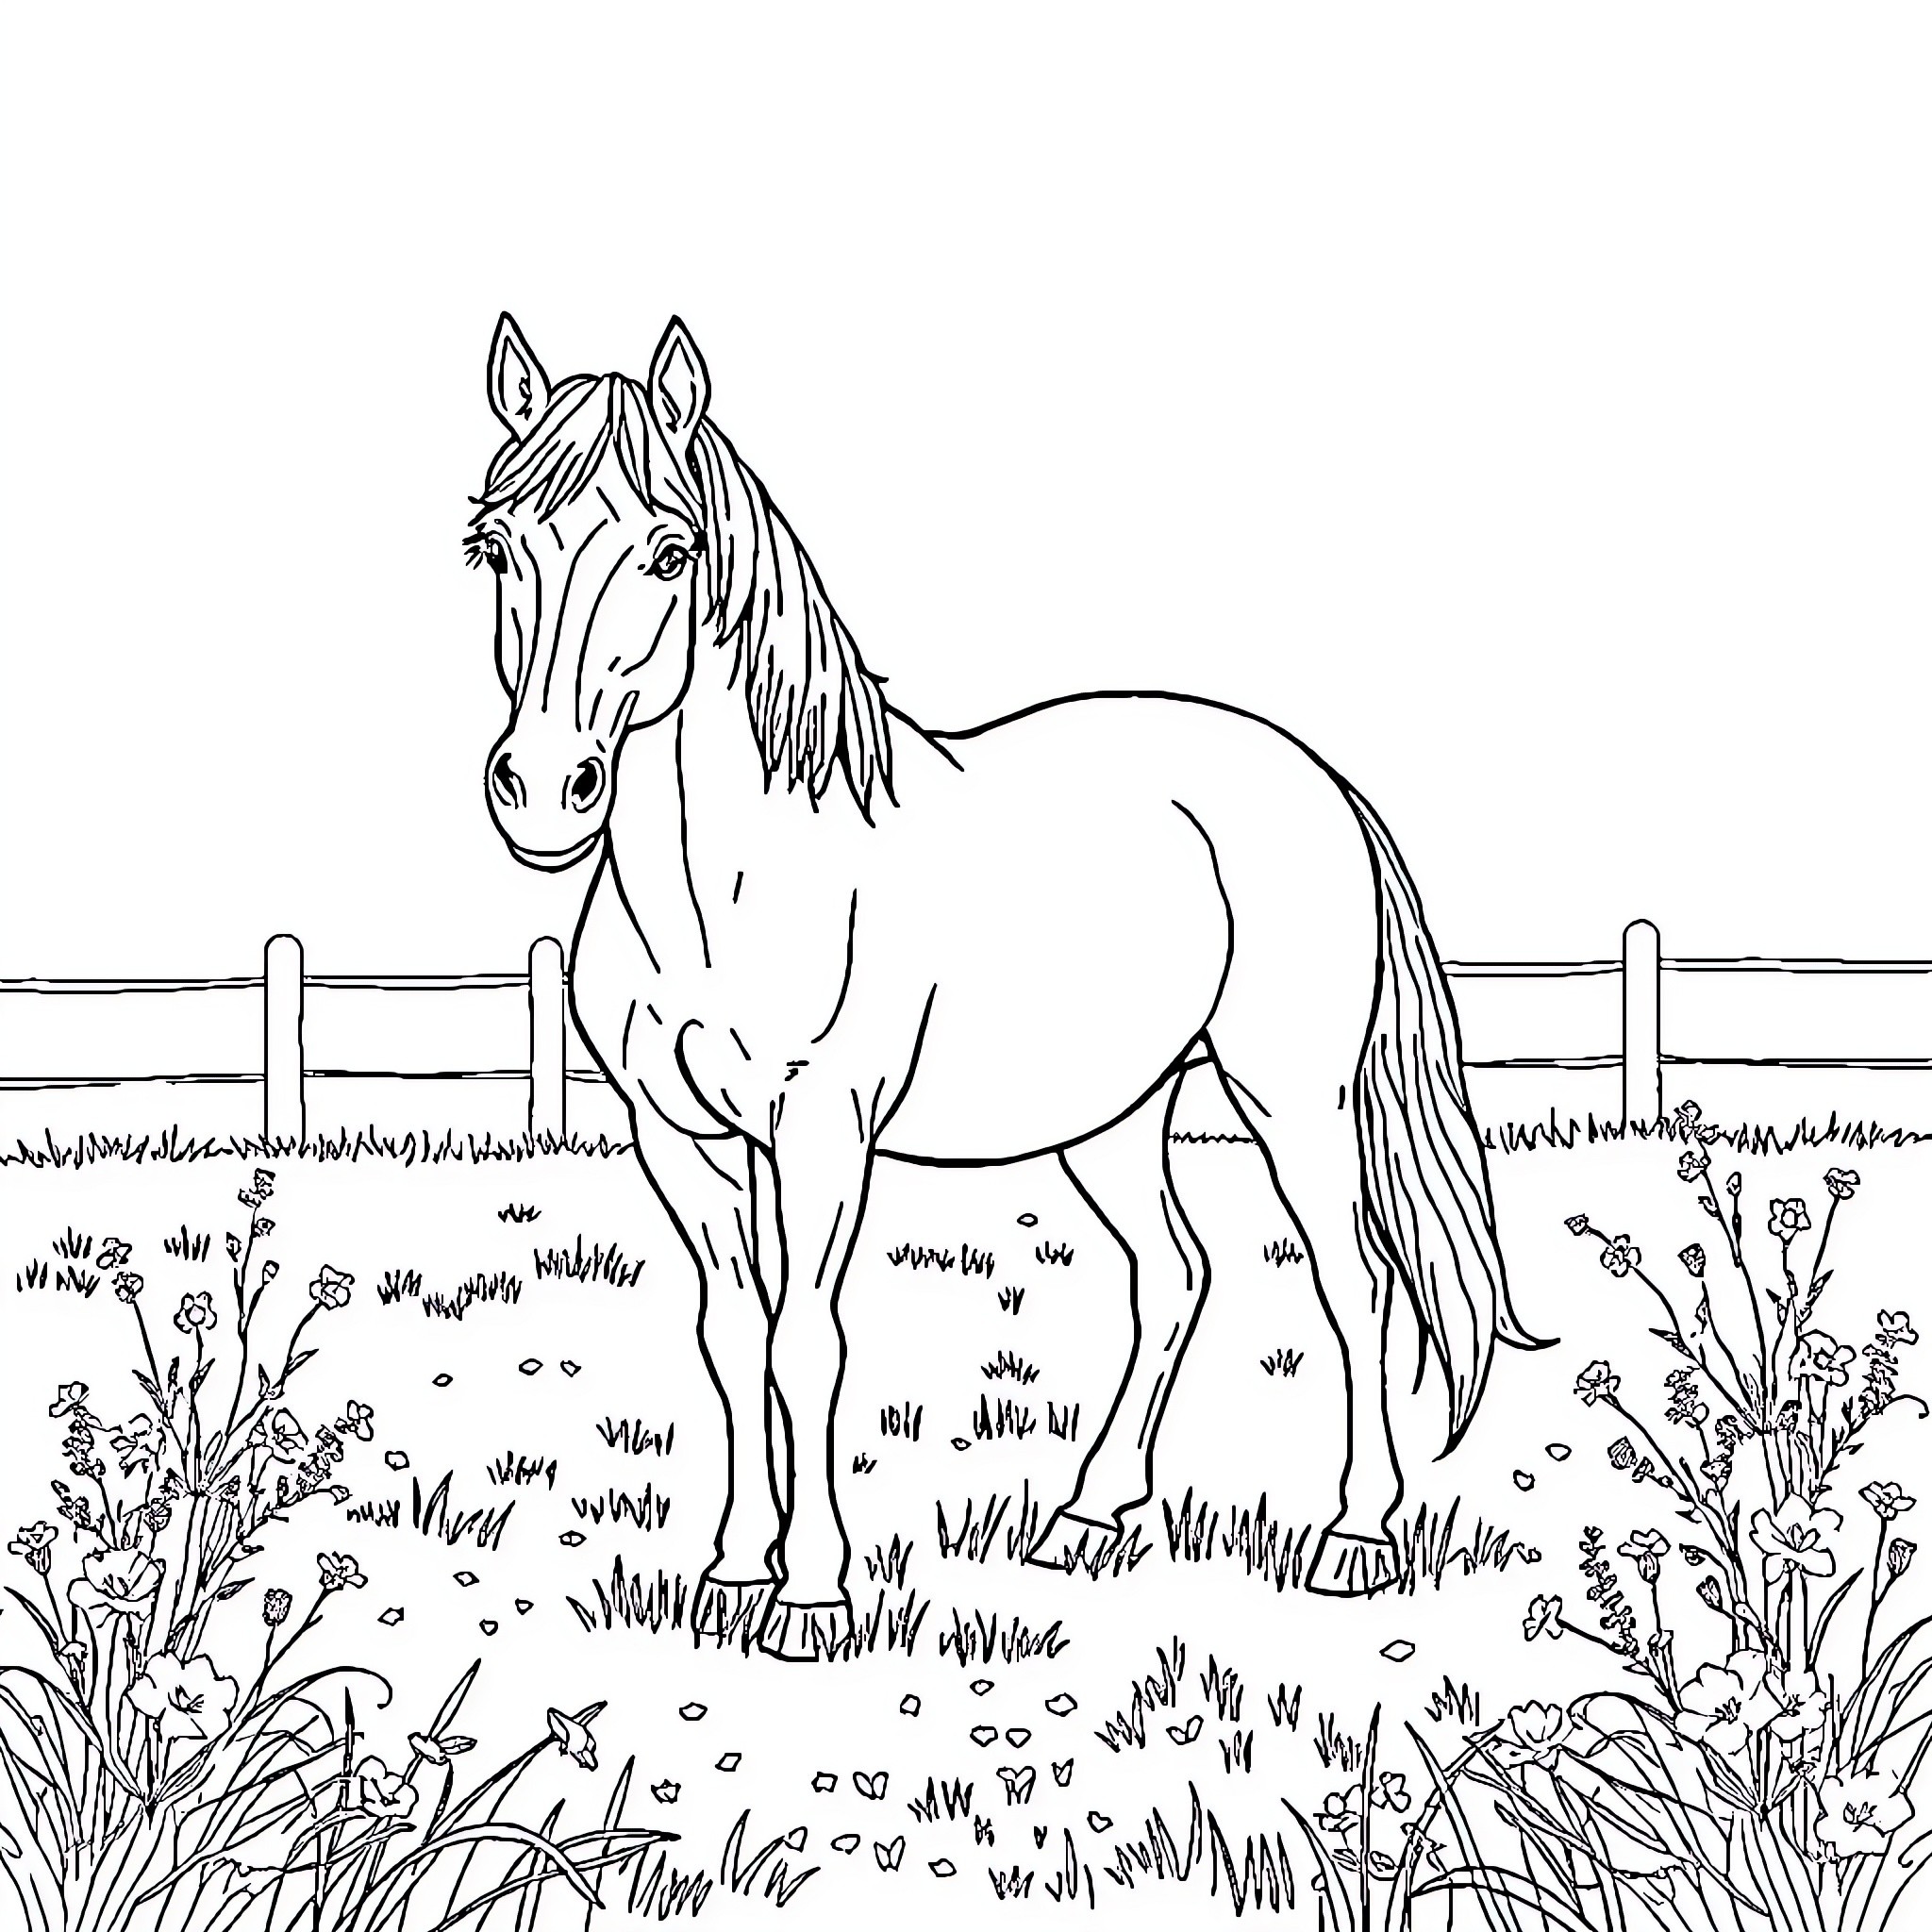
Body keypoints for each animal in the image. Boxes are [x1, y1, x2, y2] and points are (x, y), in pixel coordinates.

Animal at [468, 313, 1546, 1660]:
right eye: (494, 547)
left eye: (670, 553)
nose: (540, 791)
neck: (722, 887)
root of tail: (1316, 780)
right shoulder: (679, 1135)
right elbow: (731, 1335)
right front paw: (730, 1571)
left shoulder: (820, 1127)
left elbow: (805, 1340)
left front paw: (810, 1596)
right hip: (1113, 1115)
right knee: (1174, 1275)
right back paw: (1086, 1517)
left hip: (1291, 1099)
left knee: (1350, 1284)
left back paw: (1353, 1534)